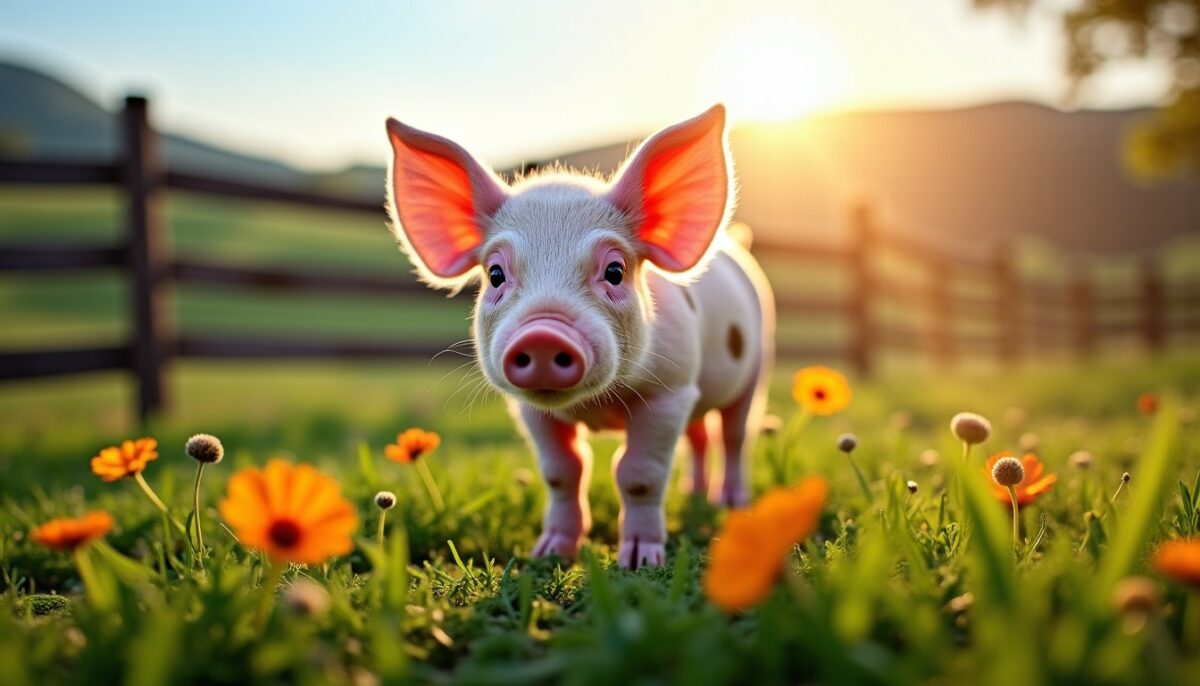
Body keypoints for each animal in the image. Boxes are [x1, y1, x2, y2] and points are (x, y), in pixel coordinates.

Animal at [384, 105, 774, 568]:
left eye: (615, 271)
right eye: (495, 273)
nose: (542, 335)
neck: (598, 406)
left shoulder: (670, 391)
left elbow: (638, 474)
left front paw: (640, 561)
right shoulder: (532, 411)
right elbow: (563, 472)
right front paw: (548, 554)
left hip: (757, 367)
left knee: (735, 436)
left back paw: (731, 504)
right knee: (699, 437)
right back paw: (693, 494)